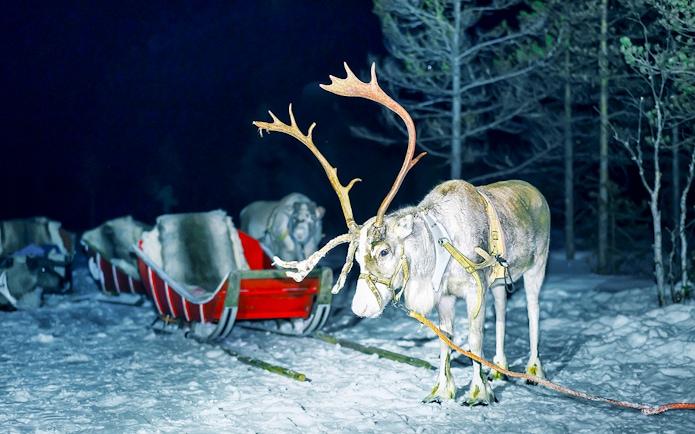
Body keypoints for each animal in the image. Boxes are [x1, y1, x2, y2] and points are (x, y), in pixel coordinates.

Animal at [253, 62, 551, 406]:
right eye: (355, 258)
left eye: (384, 251)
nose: (360, 308)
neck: (438, 244)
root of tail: (536, 193)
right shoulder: (445, 295)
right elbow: (445, 340)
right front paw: (441, 391)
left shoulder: (475, 288)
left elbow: (475, 340)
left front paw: (478, 393)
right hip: (501, 280)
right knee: (502, 310)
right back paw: (499, 368)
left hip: (537, 264)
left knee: (532, 310)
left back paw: (533, 370)